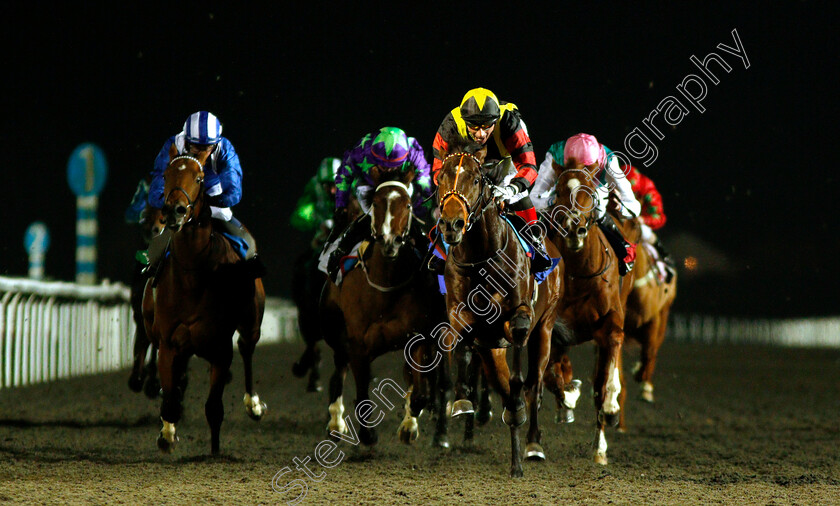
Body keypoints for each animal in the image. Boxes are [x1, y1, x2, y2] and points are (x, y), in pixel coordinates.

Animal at [141, 154, 266, 454]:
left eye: (199, 178)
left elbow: (214, 408)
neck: (192, 274)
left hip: (251, 324)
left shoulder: (221, 347)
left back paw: (253, 404)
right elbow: (170, 397)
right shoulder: (168, 342)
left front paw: (215, 451)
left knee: (247, 348)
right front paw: (166, 434)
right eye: (166, 175)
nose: (174, 211)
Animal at [320, 174, 450, 446]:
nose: (390, 242)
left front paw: (410, 423)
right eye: (376, 204)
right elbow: (361, 390)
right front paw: (367, 433)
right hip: (334, 330)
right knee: (339, 370)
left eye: (408, 205)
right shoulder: (357, 342)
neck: (386, 287)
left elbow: (419, 391)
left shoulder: (419, 336)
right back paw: (335, 423)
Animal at [436, 152, 560, 476]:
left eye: (476, 179)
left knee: (534, 385)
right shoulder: (460, 314)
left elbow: (519, 375)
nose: (452, 224)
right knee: (500, 382)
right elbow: (458, 340)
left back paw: (531, 444)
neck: (482, 258)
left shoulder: (518, 318)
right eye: (441, 177)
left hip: (545, 326)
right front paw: (462, 399)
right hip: (492, 350)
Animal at [544, 160, 636, 464]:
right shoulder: (554, 330)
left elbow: (603, 381)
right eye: (560, 190)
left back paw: (600, 444)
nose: (574, 229)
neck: (579, 274)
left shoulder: (610, 323)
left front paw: (611, 405)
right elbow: (553, 377)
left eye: (589, 191)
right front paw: (570, 397)